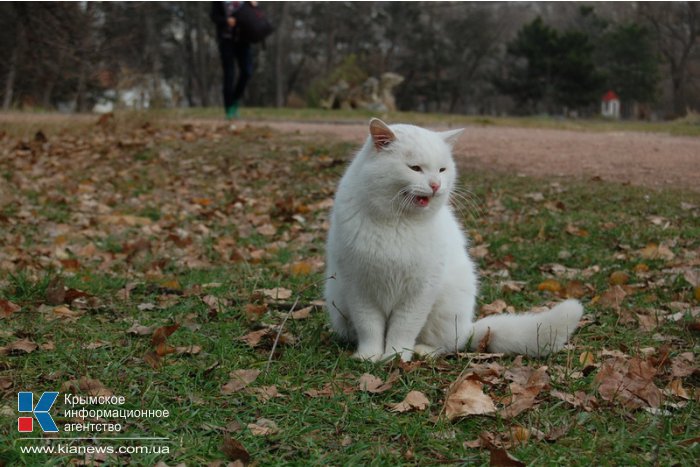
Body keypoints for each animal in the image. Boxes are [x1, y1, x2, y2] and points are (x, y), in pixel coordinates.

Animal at [326, 119, 584, 364]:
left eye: (442, 169)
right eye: (415, 168)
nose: (435, 185)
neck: (398, 222)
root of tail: (469, 327)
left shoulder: (419, 292)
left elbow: (403, 329)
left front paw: (395, 357)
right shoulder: (359, 289)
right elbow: (370, 328)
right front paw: (369, 357)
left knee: (448, 344)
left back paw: (423, 351)